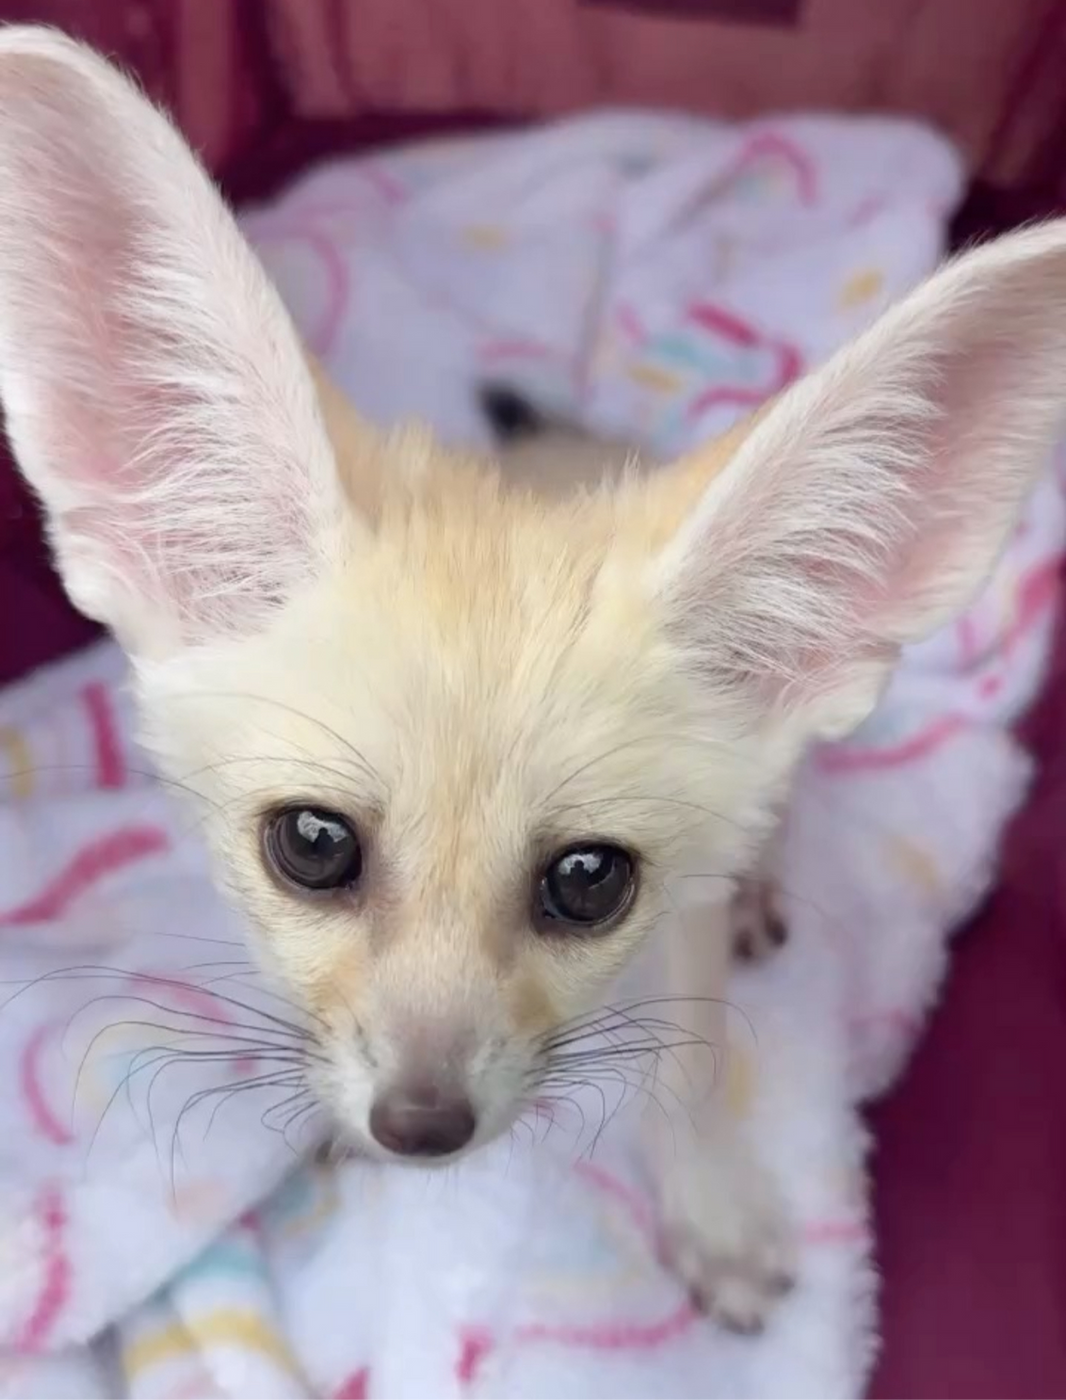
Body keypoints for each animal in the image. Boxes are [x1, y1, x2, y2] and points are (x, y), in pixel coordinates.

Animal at [1, 27, 1064, 1333]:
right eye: (311, 844)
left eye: (586, 880)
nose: (420, 1126)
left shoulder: (677, 912)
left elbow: (692, 1058)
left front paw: (711, 1206)